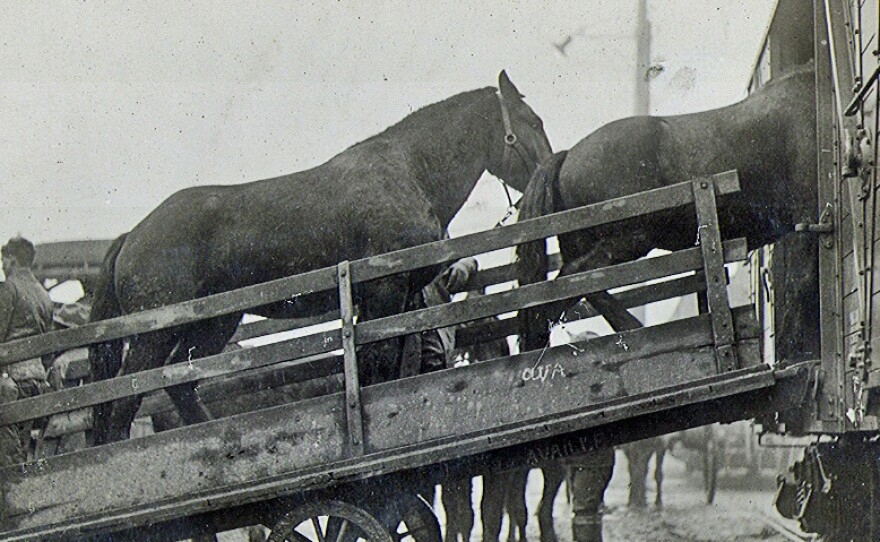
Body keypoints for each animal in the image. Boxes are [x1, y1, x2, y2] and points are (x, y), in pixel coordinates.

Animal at [88, 71, 552, 445]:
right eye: (533, 122)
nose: (550, 169)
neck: (409, 172)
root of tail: (133, 236)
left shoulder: (399, 299)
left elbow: (393, 362)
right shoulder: (382, 293)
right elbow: (378, 362)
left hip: (213, 325)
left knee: (179, 383)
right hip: (153, 334)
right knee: (125, 394)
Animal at [517, 63, 819, 362]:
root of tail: (568, 156)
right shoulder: (806, 217)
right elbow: (802, 280)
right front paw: (795, 352)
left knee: (571, 289)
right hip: (629, 239)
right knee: (570, 283)